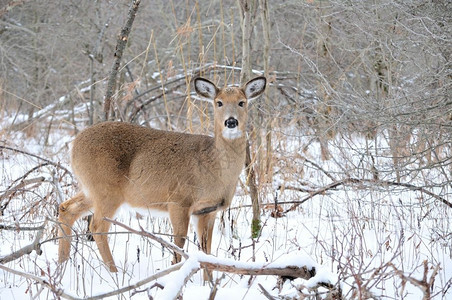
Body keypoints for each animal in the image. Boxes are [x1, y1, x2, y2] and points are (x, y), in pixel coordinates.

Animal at [58, 75, 266, 274]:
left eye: (242, 102)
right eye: (219, 102)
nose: (231, 122)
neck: (214, 168)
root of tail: (74, 145)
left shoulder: (208, 210)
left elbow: (206, 252)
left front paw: (207, 282)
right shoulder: (178, 200)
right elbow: (179, 245)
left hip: (91, 189)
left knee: (66, 209)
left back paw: (62, 263)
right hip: (106, 190)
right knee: (97, 228)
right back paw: (114, 273)